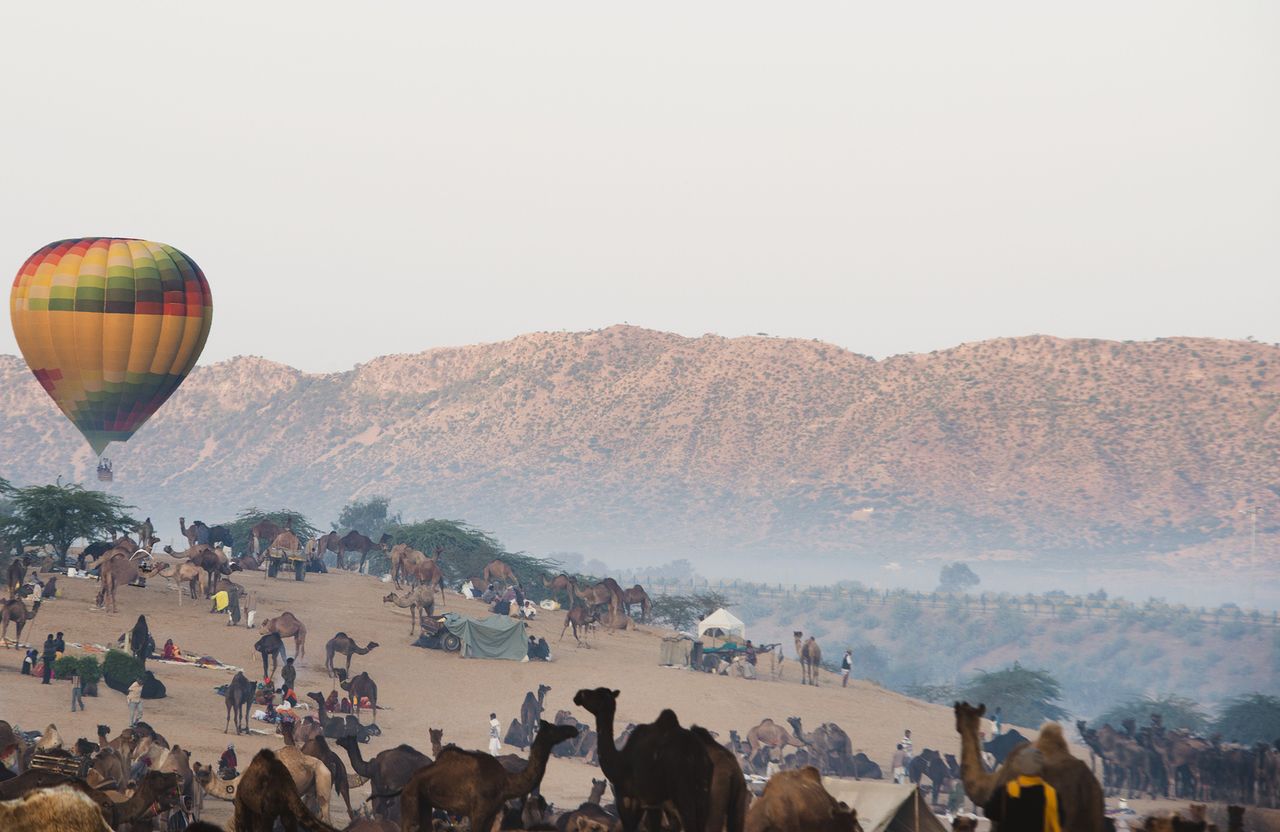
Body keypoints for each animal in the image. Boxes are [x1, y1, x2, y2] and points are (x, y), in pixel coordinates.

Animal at [399, 716, 581, 829]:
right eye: (554, 729)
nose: (573, 730)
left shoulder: (488, 813)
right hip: (413, 799)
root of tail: (409, 780)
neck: (506, 781)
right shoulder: (478, 812)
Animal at [576, 686, 716, 829]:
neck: (619, 761)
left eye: (596, 693)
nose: (579, 695)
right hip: (700, 794)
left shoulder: (628, 798)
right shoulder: (654, 803)